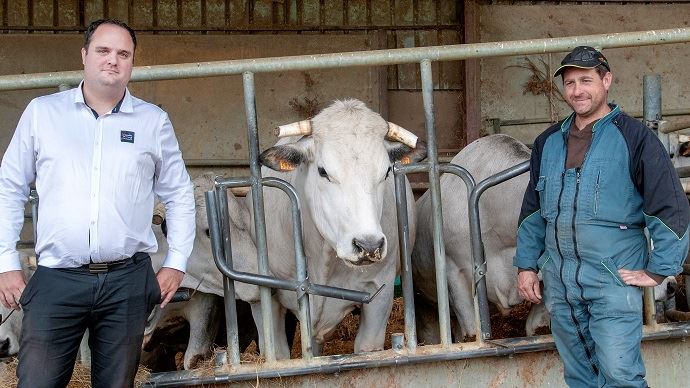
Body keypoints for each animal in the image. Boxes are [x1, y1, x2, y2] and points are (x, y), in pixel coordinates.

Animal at [247, 98, 424, 360]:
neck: (323, 258)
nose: (368, 245)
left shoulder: (380, 294)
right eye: (323, 171)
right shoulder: (266, 299)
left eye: (386, 171)